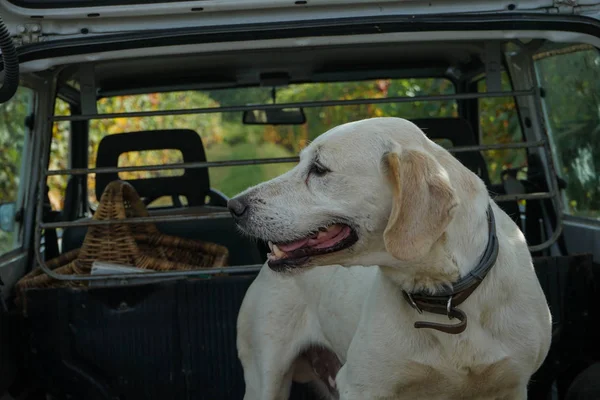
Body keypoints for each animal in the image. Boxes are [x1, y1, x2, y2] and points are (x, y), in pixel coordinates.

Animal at [229, 117, 552, 398]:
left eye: (319, 169)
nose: (234, 206)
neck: (444, 297)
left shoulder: (511, 385)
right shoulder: (361, 386)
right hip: (264, 379)